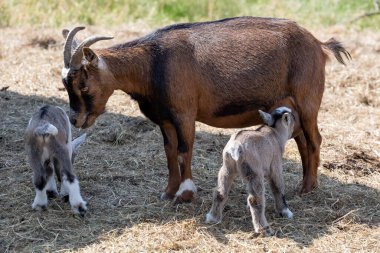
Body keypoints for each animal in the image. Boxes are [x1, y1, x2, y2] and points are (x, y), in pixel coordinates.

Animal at [60, 16, 348, 203]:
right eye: (65, 83)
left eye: (83, 83)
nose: (76, 119)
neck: (153, 62)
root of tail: (319, 44)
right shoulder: (165, 120)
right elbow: (169, 153)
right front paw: (169, 192)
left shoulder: (184, 114)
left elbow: (184, 151)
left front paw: (185, 194)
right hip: (291, 108)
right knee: (302, 141)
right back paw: (305, 186)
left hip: (308, 101)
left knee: (314, 140)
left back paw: (307, 189)